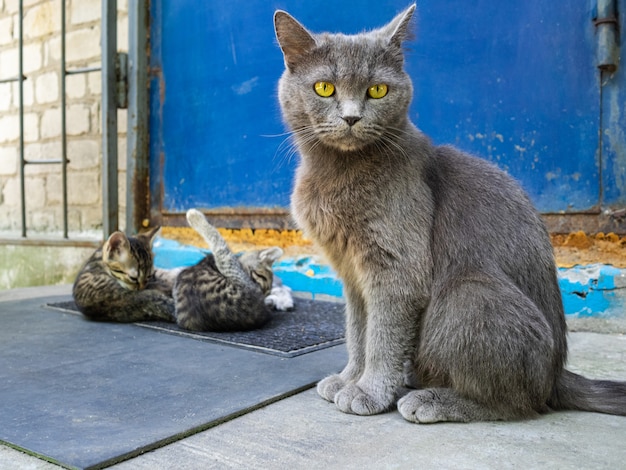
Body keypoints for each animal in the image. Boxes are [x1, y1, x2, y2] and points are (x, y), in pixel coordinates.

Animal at [272, 3, 624, 422]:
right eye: (324, 88)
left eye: (377, 90)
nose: (352, 117)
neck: (337, 170)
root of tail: (557, 374)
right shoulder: (351, 273)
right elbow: (357, 331)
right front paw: (348, 379)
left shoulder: (397, 267)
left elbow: (382, 335)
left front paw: (369, 391)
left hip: (467, 292)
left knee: (518, 402)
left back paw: (432, 400)